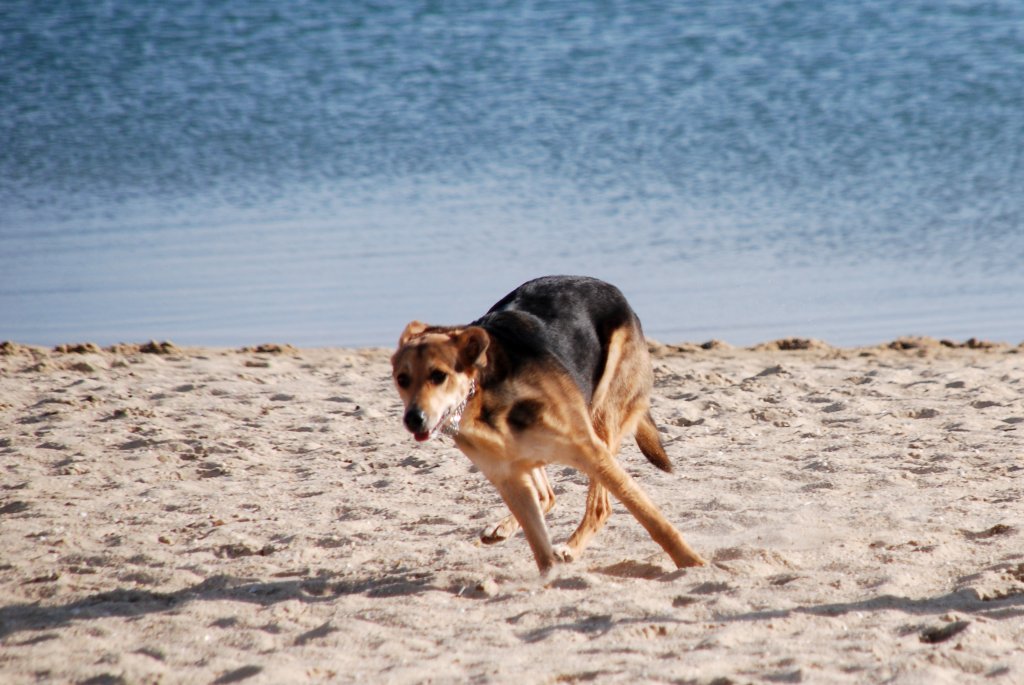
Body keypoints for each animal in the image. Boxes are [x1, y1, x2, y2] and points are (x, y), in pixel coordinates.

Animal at [387, 274, 708, 573]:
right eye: (402, 380)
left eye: (438, 376)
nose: (413, 419)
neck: (484, 397)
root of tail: (613, 291)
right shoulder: (508, 477)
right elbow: (539, 545)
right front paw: (549, 580)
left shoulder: (592, 453)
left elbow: (653, 520)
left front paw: (692, 563)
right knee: (547, 495)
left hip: (602, 422)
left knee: (600, 507)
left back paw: (571, 546)